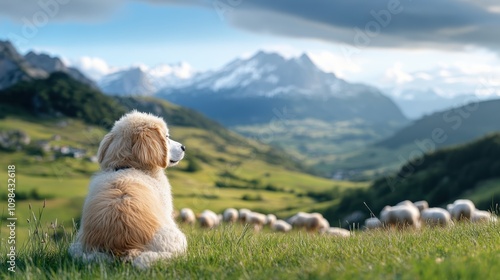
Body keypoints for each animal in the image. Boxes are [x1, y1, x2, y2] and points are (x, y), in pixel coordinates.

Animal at [69, 110, 188, 268]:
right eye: (167, 137)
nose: (183, 147)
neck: (127, 166)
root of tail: (125, 249)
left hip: (78, 249)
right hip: (176, 238)